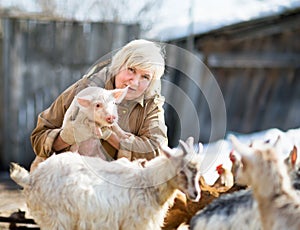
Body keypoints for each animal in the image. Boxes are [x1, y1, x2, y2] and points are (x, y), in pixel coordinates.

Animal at [11, 137, 204, 229]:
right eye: (181, 171)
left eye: (198, 171)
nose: (196, 194)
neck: (146, 183)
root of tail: (32, 178)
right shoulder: (134, 224)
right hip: (58, 219)